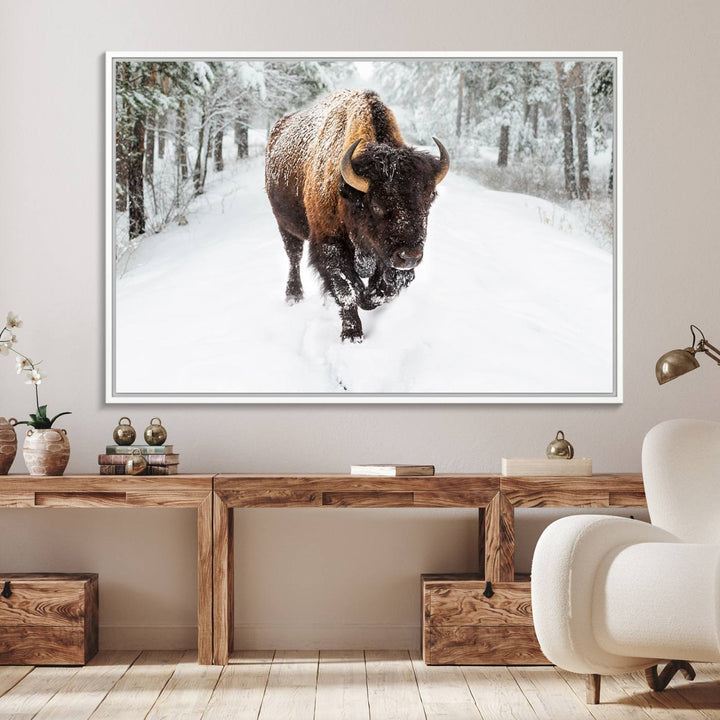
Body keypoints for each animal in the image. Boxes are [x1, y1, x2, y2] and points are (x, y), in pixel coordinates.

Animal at [264, 88, 448, 344]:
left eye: (429, 199)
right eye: (377, 205)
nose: (410, 257)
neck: (348, 193)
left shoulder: (385, 256)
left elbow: (383, 290)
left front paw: (368, 297)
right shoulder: (330, 245)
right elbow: (347, 290)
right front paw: (352, 335)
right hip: (285, 225)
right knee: (294, 256)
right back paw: (293, 295)